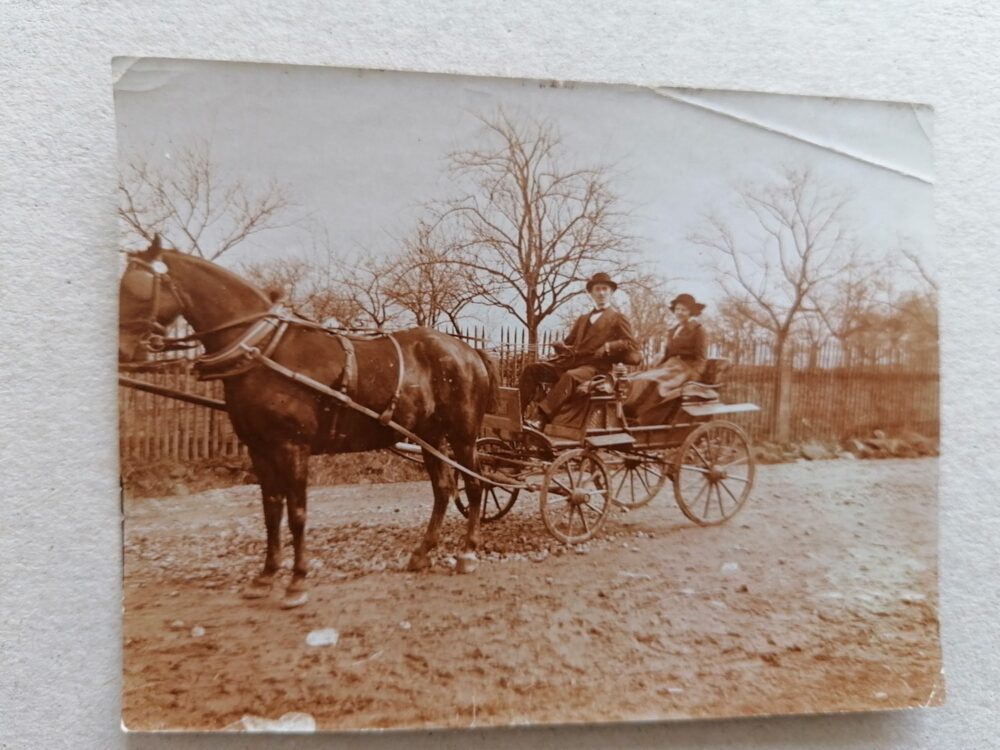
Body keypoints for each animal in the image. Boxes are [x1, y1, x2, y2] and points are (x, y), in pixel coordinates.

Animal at [119, 238, 498, 608]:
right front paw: (266, 576)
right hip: (428, 435)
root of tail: (467, 351)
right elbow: (272, 511)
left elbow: (297, 513)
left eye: (137, 288)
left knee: (475, 485)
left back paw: (467, 553)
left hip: (463, 436)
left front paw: (297, 582)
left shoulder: (292, 447)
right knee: (444, 489)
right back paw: (422, 553)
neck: (264, 350)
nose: (122, 352)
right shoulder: (259, 449)